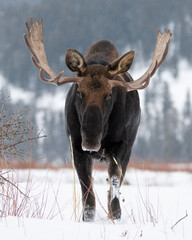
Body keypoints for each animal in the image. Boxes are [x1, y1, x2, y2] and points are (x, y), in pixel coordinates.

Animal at [23, 17, 172, 222]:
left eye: (109, 95)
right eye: (79, 92)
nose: (91, 140)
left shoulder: (121, 146)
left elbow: (115, 183)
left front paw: (115, 216)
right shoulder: (75, 145)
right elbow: (87, 191)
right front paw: (87, 218)